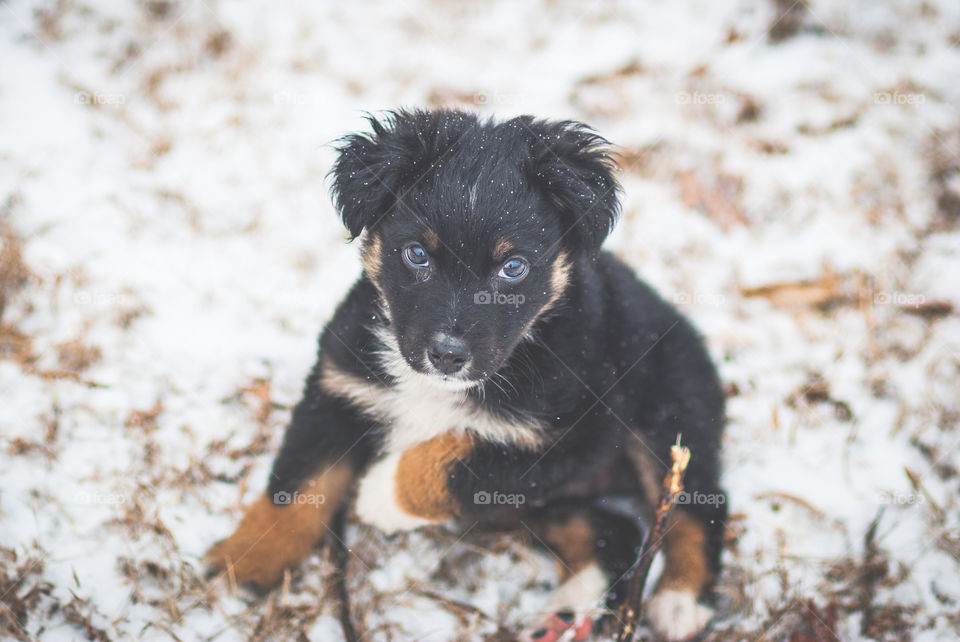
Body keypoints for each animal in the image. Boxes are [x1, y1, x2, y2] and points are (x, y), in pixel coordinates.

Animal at [206, 110, 724, 640]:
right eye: (416, 254)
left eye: (513, 267)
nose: (447, 355)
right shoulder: (337, 388)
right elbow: (299, 482)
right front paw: (249, 560)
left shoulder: (572, 436)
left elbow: (458, 458)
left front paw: (380, 494)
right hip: (540, 503)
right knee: (612, 530)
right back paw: (570, 607)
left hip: (669, 414)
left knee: (698, 504)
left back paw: (680, 599)